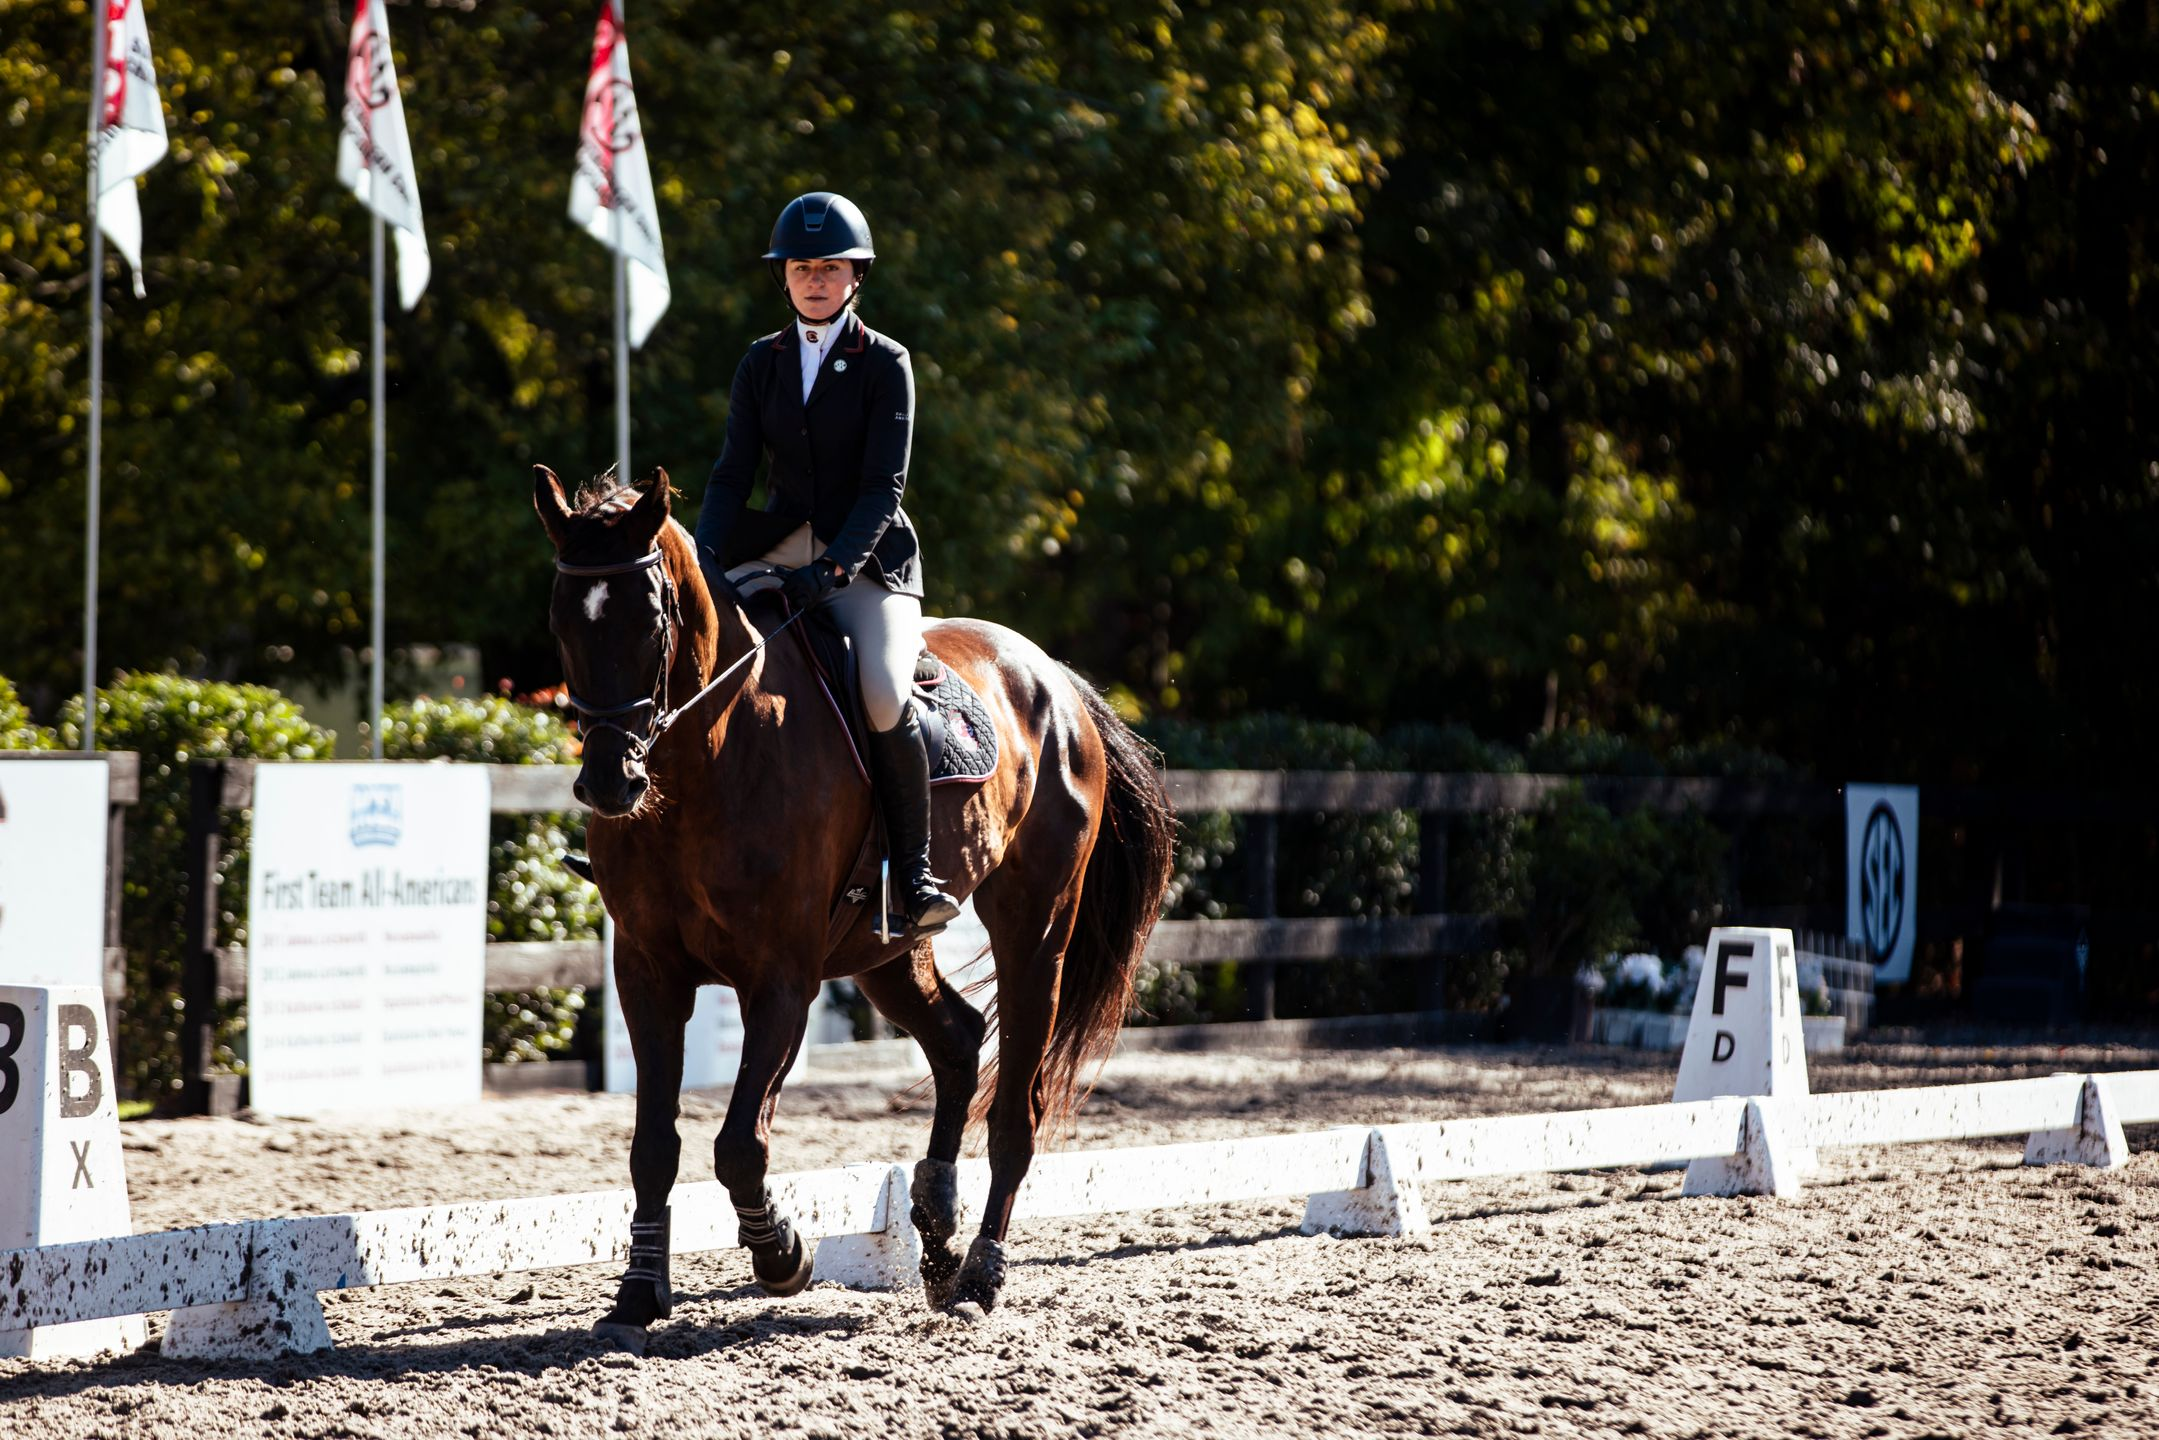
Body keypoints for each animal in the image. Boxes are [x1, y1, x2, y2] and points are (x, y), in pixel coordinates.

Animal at [537, 464, 1174, 1355]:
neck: (704, 761)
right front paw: (637, 1294)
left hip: (1035, 928)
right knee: (957, 1038)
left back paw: (978, 1278)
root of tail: (1054, 676)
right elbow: (653, 1146)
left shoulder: (780, 978)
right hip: (884, 949)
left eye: (652, 618)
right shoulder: (647, 970)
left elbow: (739, 1145)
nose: (608, 782)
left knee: (1016, 1109)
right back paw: (935, 1234)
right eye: (562, 619)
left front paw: (783, 1256)